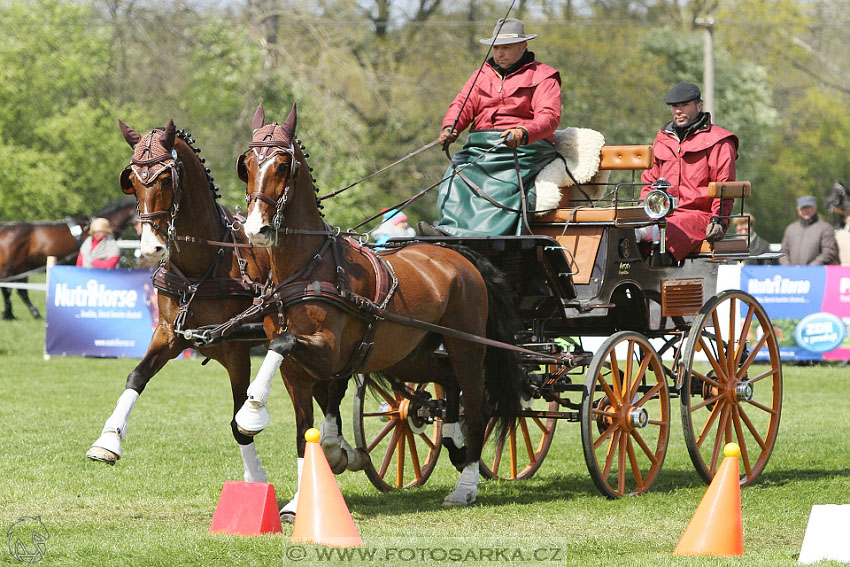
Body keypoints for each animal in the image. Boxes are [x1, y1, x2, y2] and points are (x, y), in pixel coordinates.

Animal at [0, 197, 136, 320]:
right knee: (7, 288)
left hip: (22, 268)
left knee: (20, 291)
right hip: (10, 267)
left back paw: (31, 313)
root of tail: (4, 230)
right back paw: (10, 314)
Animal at [88, 121, 282, 496]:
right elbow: (137, 375)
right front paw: (108, 440)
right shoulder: (169, 333)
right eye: (132, 179)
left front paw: (254, 479)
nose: (151, 247)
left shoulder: (235, 350)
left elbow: (237, 418)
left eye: (166, 179)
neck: (202, 264)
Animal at [234, 103, 524, 510]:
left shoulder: (328, 353)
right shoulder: (297, 372)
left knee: (477, 405)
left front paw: (251, 410)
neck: (307, 268)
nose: (256, 229)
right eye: (246, 164)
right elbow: (304, 431)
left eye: (282, 164)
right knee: (446, 379)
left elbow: (282, 343)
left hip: (466, 346)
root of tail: (459, 254)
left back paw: (465, 486)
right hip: (408, 354)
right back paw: (452, 441)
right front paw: (298, 503)